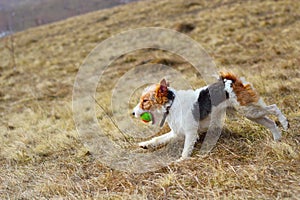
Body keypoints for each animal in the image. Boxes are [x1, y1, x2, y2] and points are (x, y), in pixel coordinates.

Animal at [132, 71, 290, 160]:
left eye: (145, 101)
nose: (132, 112)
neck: (172, 104)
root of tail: (230, 81)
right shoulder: (177, 132)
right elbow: (158, 139)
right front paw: (145, 145)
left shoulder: (190, 133)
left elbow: (186, 150)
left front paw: (181, 161)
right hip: (251, 114)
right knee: (270, 123)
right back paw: (277, 139)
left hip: (249, 110)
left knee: (274, 108)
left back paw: (285, 122)